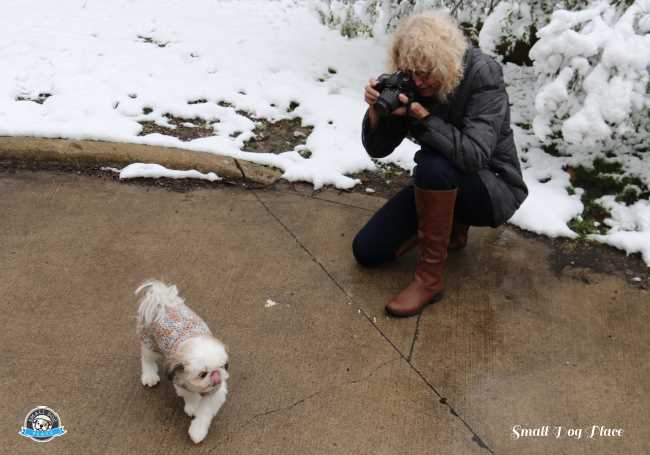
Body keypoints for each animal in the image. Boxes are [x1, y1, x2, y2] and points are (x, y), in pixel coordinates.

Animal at [134, 280, 228, 444]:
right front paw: (193, 406)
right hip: (150, 344)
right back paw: (149, 376)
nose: (216, 376)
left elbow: (205, 412)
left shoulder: (215, 392)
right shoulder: (178, 378)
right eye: (202, 374)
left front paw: (197, 431)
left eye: (222, 367)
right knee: (147, 359)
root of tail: (163, 301)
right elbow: (189, 395)